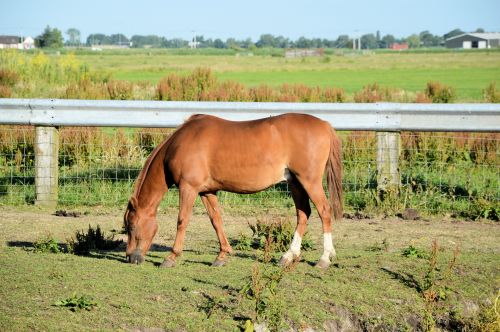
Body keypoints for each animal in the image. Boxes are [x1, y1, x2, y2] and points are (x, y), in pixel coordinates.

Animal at [125, 113, 344, 268]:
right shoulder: (206, 192)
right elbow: (216, 220)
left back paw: (324, 258)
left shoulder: (189, 188)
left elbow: (182, 221)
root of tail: (325, 124)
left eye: (132, 227)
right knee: (303, 214)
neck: (179, 143)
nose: (130, 257)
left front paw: (172, 257)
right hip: (296, 183)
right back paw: (288, 256)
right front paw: (222, 255)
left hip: (309, 182)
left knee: (324, 211)